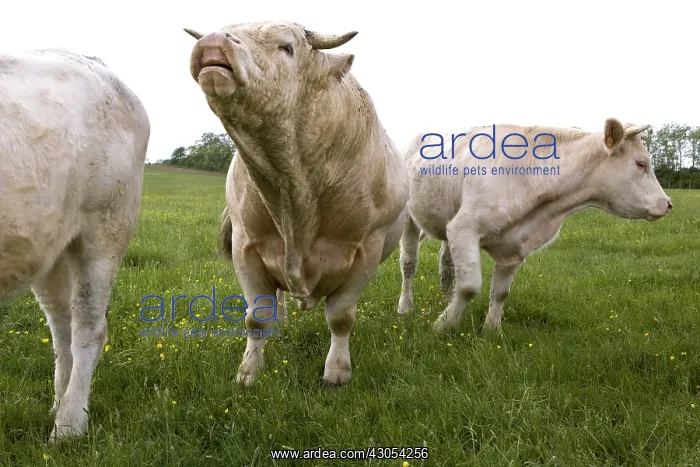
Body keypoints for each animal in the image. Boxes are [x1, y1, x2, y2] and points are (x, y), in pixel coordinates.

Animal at [0, 49, 150, 442]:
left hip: (105, 228)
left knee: (88, 327)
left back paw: (68, 424)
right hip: (48, 245)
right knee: (61, 327)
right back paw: (59, 404)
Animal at [183, 21, 409, 387]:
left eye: (286, 48)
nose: (213, 42)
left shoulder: (367, 250)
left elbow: (341, 317)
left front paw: (337, 372)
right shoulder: (245, 247)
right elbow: (256, 317)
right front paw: (249, 372)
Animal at [397, 119, 672, 332]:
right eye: (641, 164)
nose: (667, 204)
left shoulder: (514, 246)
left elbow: (500, 293)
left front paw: (491, 330)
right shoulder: (464, 229)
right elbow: (469, 287)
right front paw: (444, 325)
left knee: (447, 265)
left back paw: (445, 298)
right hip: (409, 220)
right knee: (409, 264)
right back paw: (406, 307)